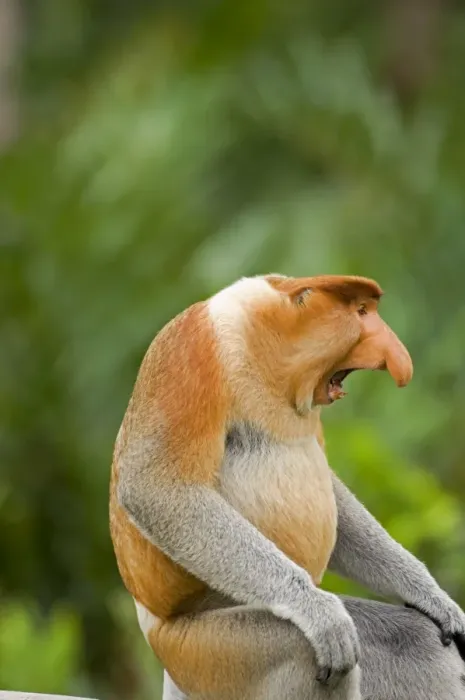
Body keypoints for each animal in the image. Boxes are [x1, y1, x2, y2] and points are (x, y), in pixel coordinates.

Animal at [109, 274, 465, 700]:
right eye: (361, 312)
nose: (398, 360)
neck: (263, 342)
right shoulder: (192, 349)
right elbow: (156, 488)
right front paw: (320, 614)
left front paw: (434, 598)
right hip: (200, 650)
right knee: (302, 651)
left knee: (412, 640)